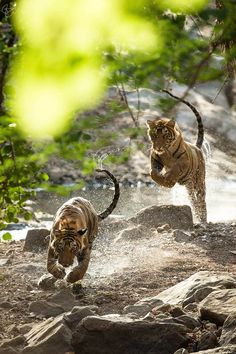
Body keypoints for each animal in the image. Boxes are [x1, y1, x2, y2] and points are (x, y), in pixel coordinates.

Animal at [147, 89, 207, 221]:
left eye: (165, 134)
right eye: (154, 134)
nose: (158, 147)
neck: (166, 153)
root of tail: (197, 147)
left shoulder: (183, 162)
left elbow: (175, 170)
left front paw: (168, 181)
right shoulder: (155, 160)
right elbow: (153, 172)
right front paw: (161, 179)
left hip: (199, 181)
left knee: (201, 200)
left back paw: (203, 219)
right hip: (189, 186)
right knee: (193, 200)